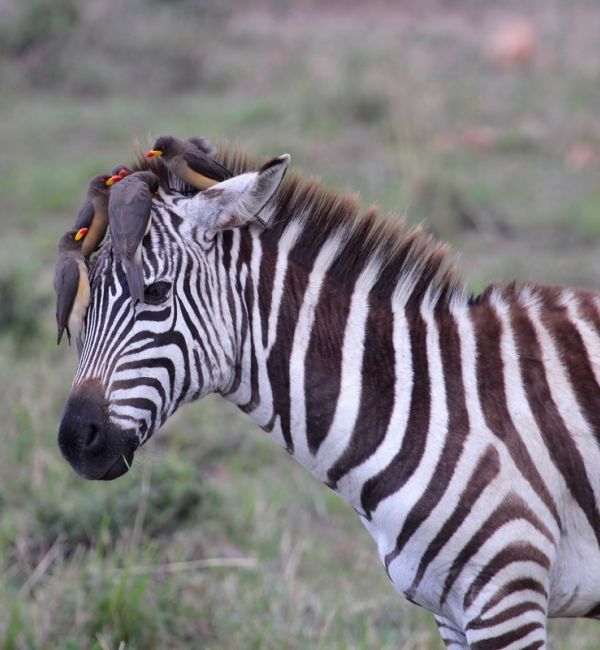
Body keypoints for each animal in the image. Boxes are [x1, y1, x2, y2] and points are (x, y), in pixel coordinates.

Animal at [58, 147, 600, 649]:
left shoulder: (506, 595)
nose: (74, 441)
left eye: (156, 292)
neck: (426, 402)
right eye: (81, 308)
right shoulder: (451, 612)